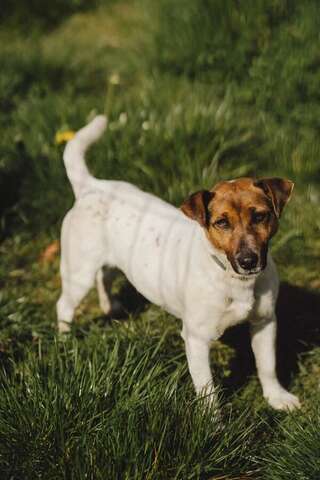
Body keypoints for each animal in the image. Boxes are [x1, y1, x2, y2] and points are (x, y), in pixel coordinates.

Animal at [57, 114, 300, 410]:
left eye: (260, 216)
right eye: (222, 222)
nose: (248, 260)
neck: (233, 277)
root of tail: (91, 186)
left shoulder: (265, 322)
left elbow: (267, 366)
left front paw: (277, 397)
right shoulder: (197, 339)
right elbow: (208, 392)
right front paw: (212, 421)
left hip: (113, 260)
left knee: (104, 276)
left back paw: (110, 306)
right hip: (78, 273)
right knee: (64, 305)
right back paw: (65, 340)